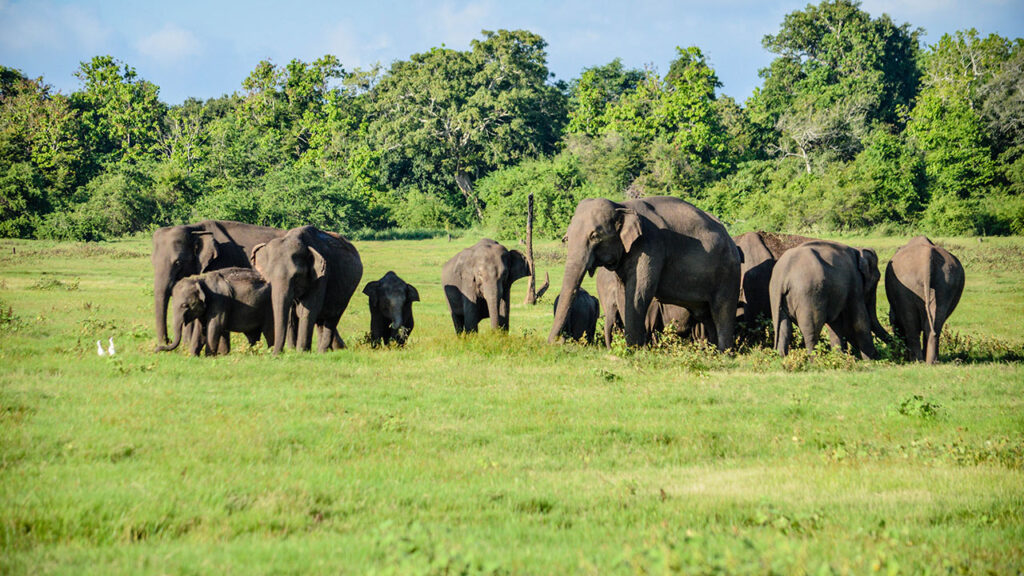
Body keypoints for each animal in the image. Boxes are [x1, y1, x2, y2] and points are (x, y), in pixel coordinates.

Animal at [149, 218, 284, 344]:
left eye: (178, 262)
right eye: (153, 262)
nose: (168, 340)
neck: (195, 229)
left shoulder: (221, 260)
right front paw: (186, 345)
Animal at [548, 196, 741, 348]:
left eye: (594, 236)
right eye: (567, 238)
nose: (553, 343)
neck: (622, 206)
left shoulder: (649, 246)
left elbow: (639, 291)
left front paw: (633, 350)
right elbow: (623, 292)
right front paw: (633, 348)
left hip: (728, 273)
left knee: (722, 311)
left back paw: (724, 353)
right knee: (706, 315)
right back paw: (711, 353)